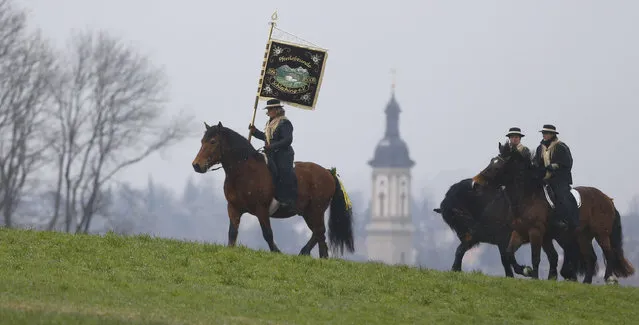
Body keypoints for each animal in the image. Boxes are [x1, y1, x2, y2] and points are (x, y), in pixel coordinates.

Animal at [192, 121, 358, 258]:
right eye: (202, 141)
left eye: (213, 141)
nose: (196, 165)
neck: (244, 171)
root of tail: (329, 172)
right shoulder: (233, 208)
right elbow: (232, 233)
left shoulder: (262, 210)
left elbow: (268, 234)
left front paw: (277, 252)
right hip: (308, 212)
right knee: (318, 233)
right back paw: (313, 254)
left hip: (316, 210)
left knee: (319, 231)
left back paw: (313, 254)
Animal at [436, 177, 596, 278]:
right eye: (451, 223)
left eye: (458, 217)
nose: (463, 235)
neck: (490, 206)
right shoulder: (478, 237)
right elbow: (460, 250)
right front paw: (455, 269)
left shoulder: (504, 238)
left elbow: (507, 257)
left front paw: (523, 271)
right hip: (547, 238)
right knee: (557, 255)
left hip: (562, 236)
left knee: (571, 252)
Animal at [472, 140, 632, 282]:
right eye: (490, 162)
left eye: (497, 167)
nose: (475, 185)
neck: (527, 196)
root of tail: (607, 199)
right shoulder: (520, 232)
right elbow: (509, 254)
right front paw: (526, 270)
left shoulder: (536, 232)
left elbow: (535, 257)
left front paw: (534, 277)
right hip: (583, 236)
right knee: (591, 258)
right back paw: (586, 281)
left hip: (601, 233)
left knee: (609, 253)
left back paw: (609, 278)